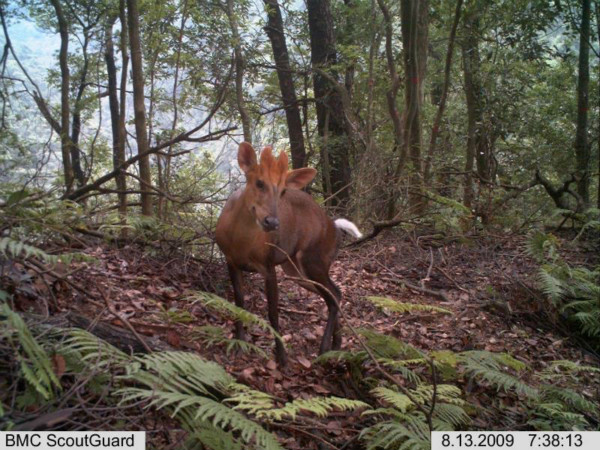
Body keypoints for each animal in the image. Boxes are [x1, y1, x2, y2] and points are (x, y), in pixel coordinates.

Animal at [216, 142, 360, 368]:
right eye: (259, 183)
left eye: (283, 190)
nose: (272, 222)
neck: (241, 242)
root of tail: (336, 229)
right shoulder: (230, 260)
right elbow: (238, 302)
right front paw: (239, 343)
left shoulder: (268, 264)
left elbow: (273, 312)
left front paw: (282, 357)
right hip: (295, 269)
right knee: (332, 295)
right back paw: (336, 344)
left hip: (315, 260)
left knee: (335, 293)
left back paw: (324, 349)